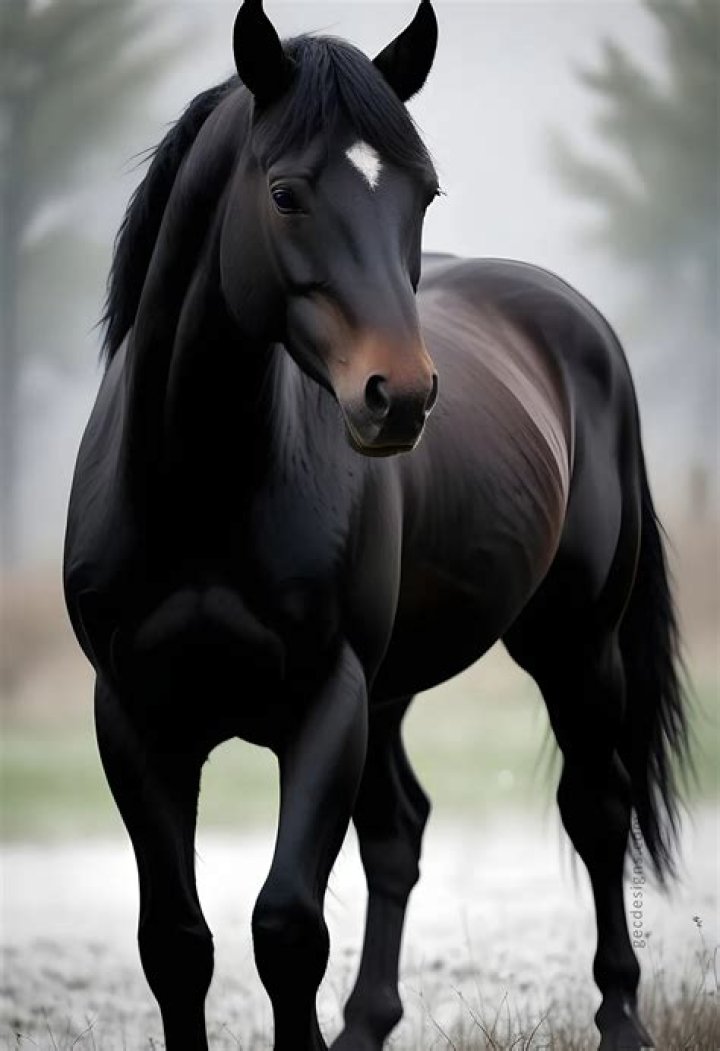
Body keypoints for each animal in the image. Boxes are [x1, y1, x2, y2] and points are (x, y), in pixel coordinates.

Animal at [63, 2, 689, 1048]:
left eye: (423, 193)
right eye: (284, 193)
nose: (401, 397)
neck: (197, 490)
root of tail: (578, 325)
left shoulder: (328, 701)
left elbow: (286, 928)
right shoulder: (137, 716)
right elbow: (177, 943)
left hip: (574, 645)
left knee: (596, 811)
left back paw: (620, 1014)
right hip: (395, 687)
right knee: (400, 831)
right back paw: (367, 1021)